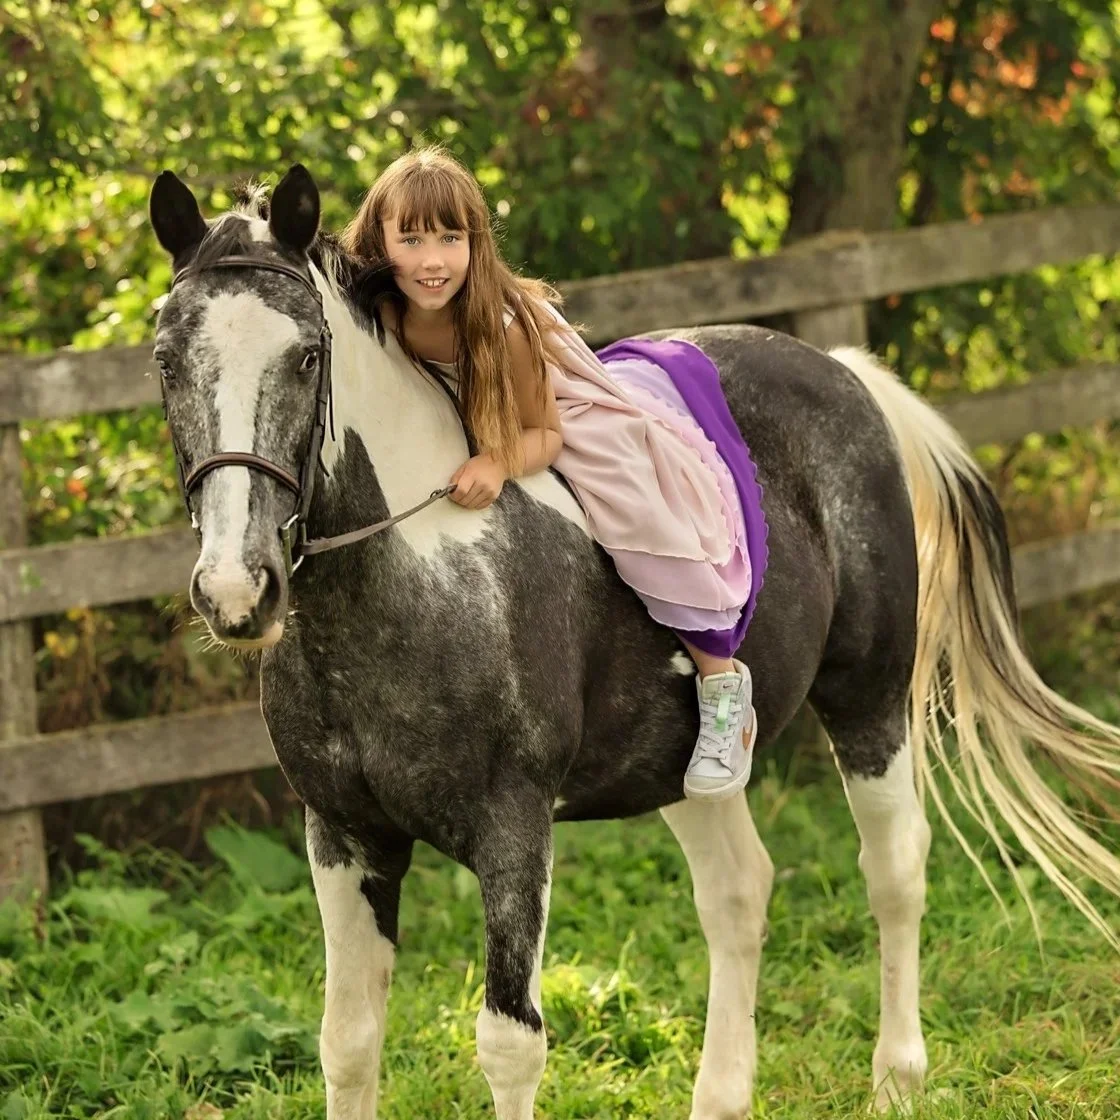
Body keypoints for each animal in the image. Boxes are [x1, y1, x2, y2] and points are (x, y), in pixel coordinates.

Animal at [147, 164, 1120, 1119]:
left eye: (307, 356)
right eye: (165, 359)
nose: (237, 591)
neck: (425, 574)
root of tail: (846, 376)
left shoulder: (513, 831)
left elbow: (509, 1046)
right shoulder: (344, 835)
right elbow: (348, 1044)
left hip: (869, 699)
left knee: (895, 867)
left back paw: (897, 1079)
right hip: (684, 770)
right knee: (738, 892)